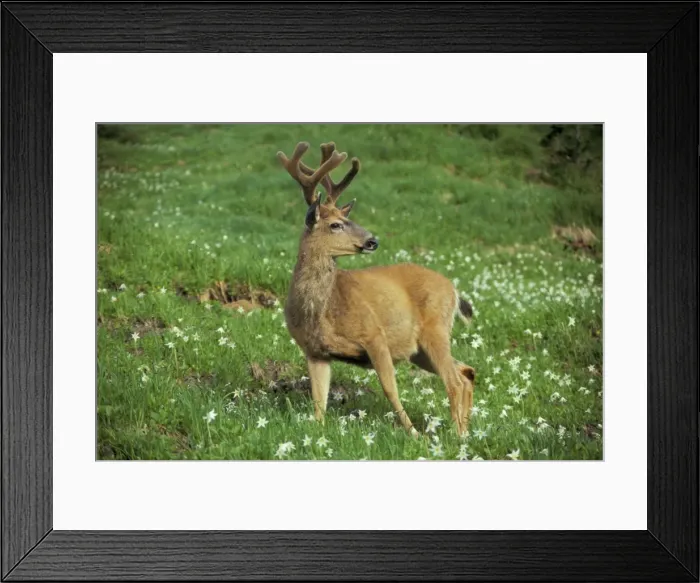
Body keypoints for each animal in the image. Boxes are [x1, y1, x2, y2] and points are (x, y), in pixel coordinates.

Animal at [277, 141, 476, 436]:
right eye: (335, 224)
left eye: (345, 218)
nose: (372, 241)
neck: (322, 310)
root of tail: (453, 289)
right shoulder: (315, 351)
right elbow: (318, 401)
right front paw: (318, 433)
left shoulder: (374, 334)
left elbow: (390, 389)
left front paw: (413, 433)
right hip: (418, 350)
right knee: (466, 371)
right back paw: (466, 430)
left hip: (435, 329)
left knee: (454, 380)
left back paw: (457, 434)